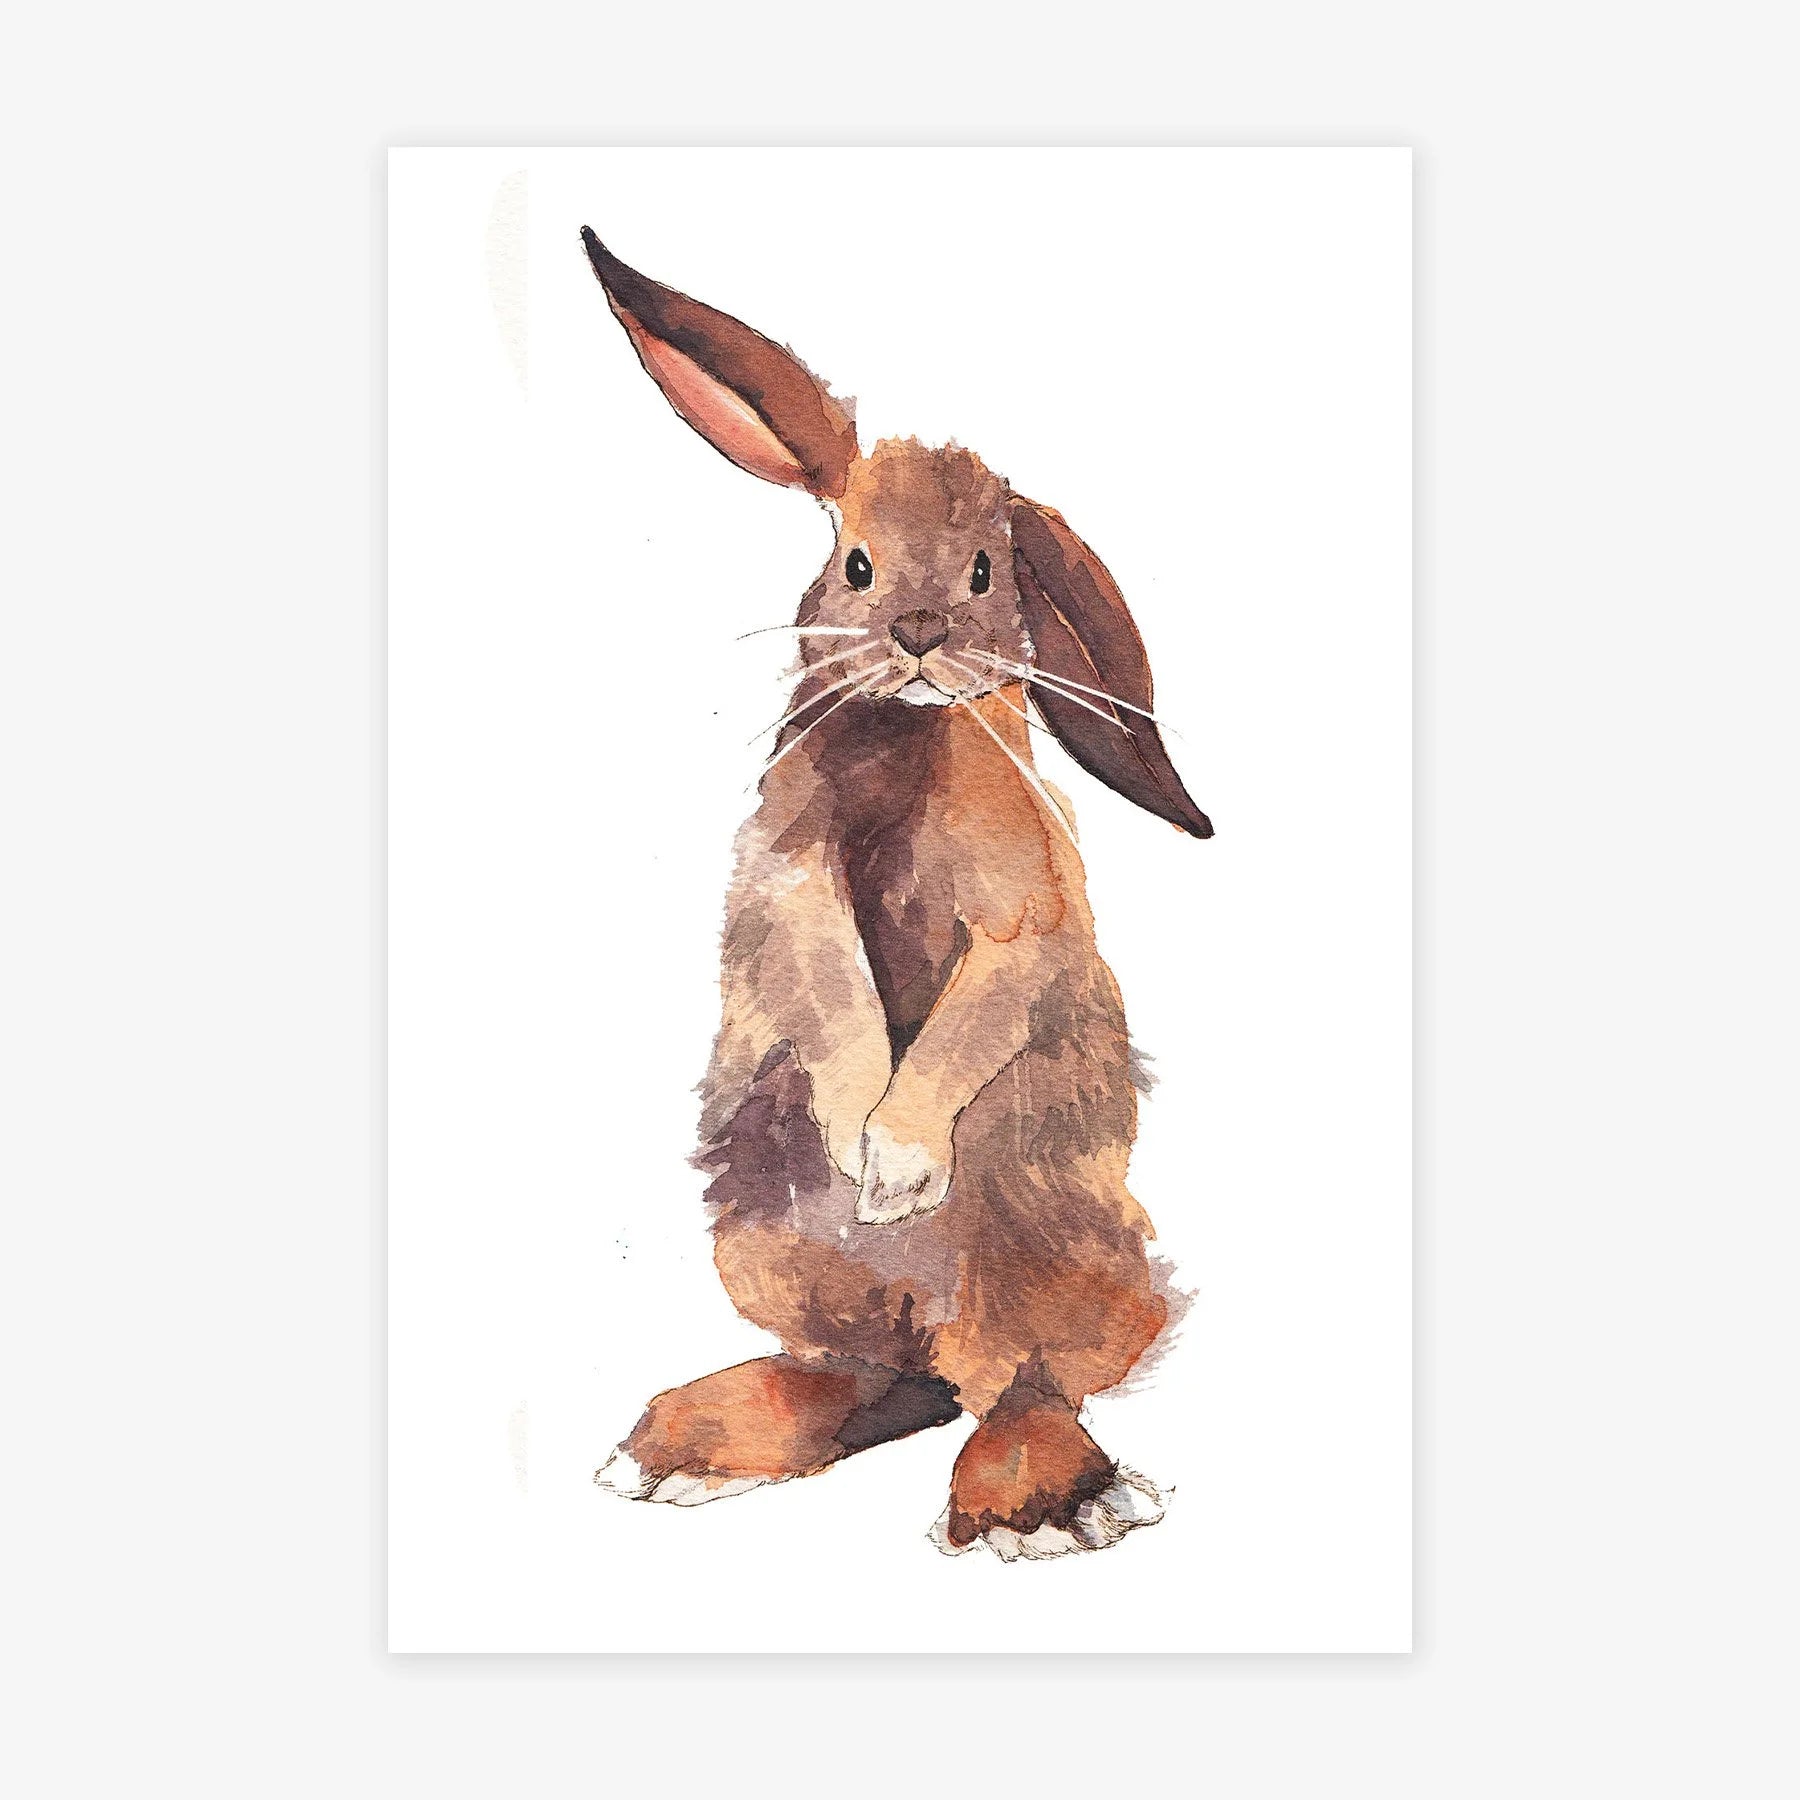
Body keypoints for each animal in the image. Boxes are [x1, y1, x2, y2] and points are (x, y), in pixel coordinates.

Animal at [582, 226, 1212, 1559]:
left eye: (984, 569)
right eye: (855, 561)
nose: (919, 632)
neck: (909, 735)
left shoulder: (1023, 916)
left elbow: (979, 1007)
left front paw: (897, 1163)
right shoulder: (790, 880)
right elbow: (828, 981)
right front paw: (855, 1136)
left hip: (1038, 1242)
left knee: (1014, 1381)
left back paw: (1046, 1503)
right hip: (766, 1243)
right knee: (878, 1374)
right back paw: (687, 1444)